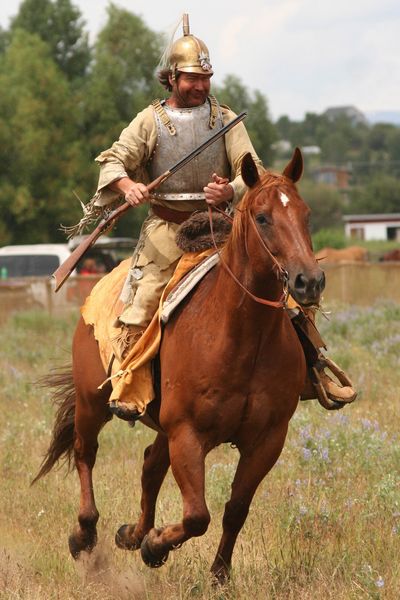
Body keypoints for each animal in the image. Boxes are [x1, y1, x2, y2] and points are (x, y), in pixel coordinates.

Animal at [33, 149, 324, 580]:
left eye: (306, 214)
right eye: (263, 217)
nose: (309, 281)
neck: (242, 336)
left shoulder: (266, 441)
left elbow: (234, 510)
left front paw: (217, 574)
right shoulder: (188, 433)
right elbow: (197, 515)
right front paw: (156, 547)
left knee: (150, 465)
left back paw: (131, 534)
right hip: (92, 402)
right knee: (86, 453)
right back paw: (85, 535)